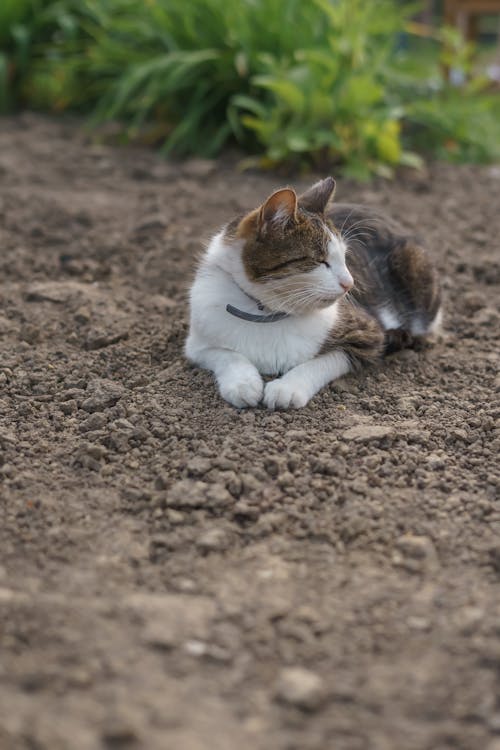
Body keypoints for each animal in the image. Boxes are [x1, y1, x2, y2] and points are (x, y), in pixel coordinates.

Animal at [185, 177, 442, 412]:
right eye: (320, 261)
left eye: (345, 257)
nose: (350, 283)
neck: (266, 313)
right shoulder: (196, 343)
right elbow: (227, 355)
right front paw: (243, 384)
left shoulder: (369, 334)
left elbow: (322, 361)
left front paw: (287, 388)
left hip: (415, 264)